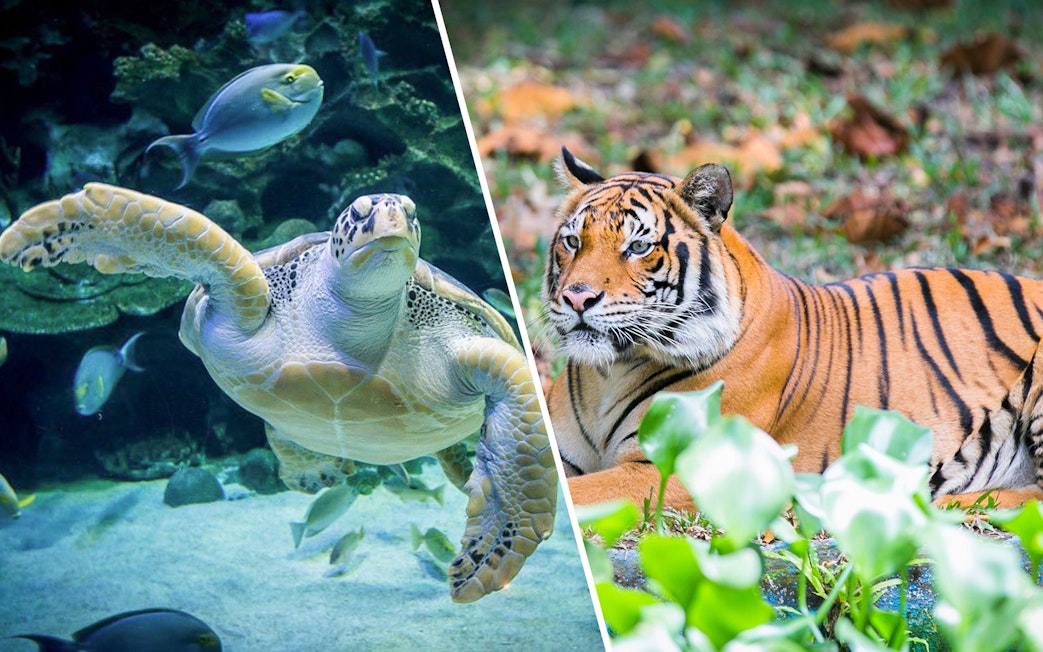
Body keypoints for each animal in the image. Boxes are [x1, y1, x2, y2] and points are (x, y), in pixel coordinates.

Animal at [544, 146, 1043, 510]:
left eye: (638, 246)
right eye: (573, 240)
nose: (577, 298)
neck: (609, 373)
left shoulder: (674, 468)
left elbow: (580, 495)